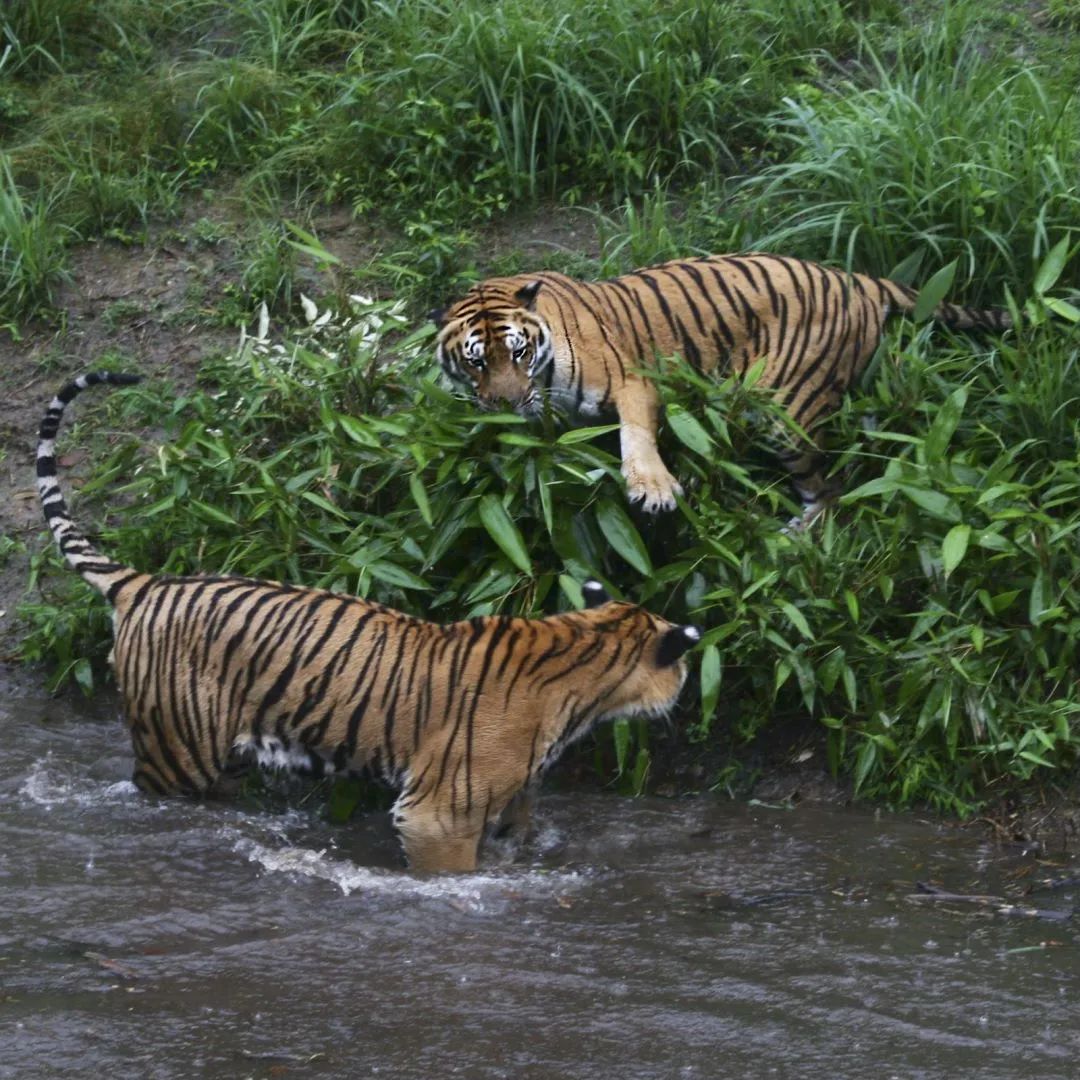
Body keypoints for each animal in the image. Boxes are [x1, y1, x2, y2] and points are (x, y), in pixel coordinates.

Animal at [35, 369, 699, 868]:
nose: (682, 694)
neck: (586, 649)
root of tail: (149, 582)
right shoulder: (439, 812)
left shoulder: (513, 805)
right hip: (177, 750)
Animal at [432, 253, 1010, 522]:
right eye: (477, 363)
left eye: (519, 353)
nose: (507, 406)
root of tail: (855, 278)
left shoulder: (631, 379)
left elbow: (636, 434)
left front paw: (654, 489)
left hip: (783, 406)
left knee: (831, 490)